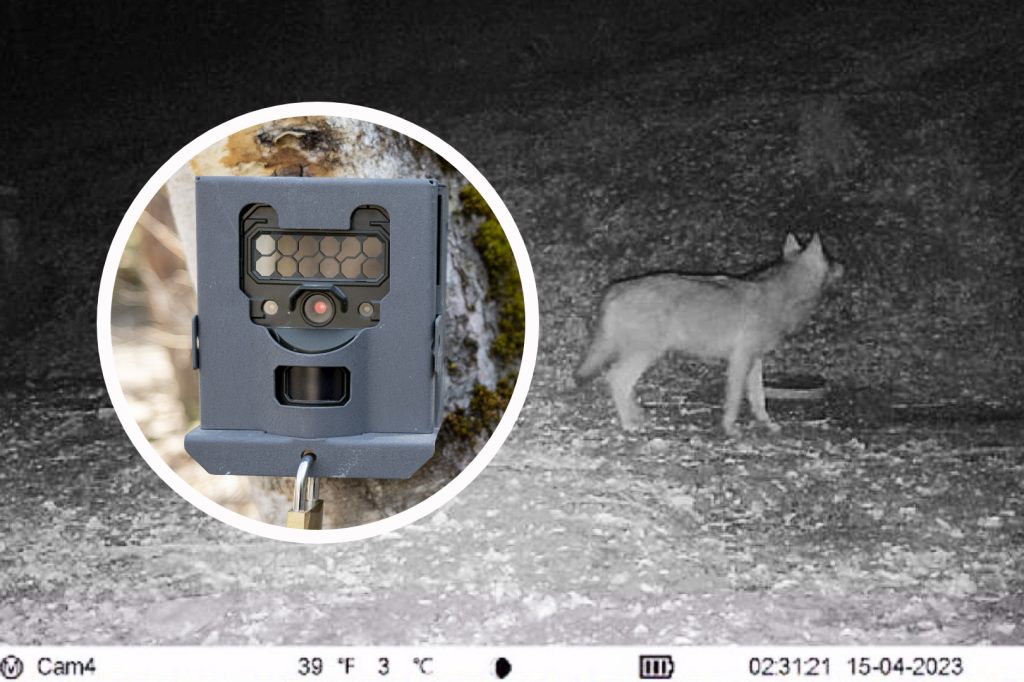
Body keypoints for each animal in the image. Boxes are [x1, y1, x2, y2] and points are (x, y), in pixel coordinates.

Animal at [577, 233, 842, 435]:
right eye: (830, 258)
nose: (844, 265)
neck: (783, 294)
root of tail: (614, 289)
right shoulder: (740, 359)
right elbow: (734, 400)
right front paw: (730, 429)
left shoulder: (755, 360)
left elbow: (759, 399)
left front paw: (767, 424)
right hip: (645, 355)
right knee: (616, 379)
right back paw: (628, 423)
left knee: (624, 385)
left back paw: (636, 416)